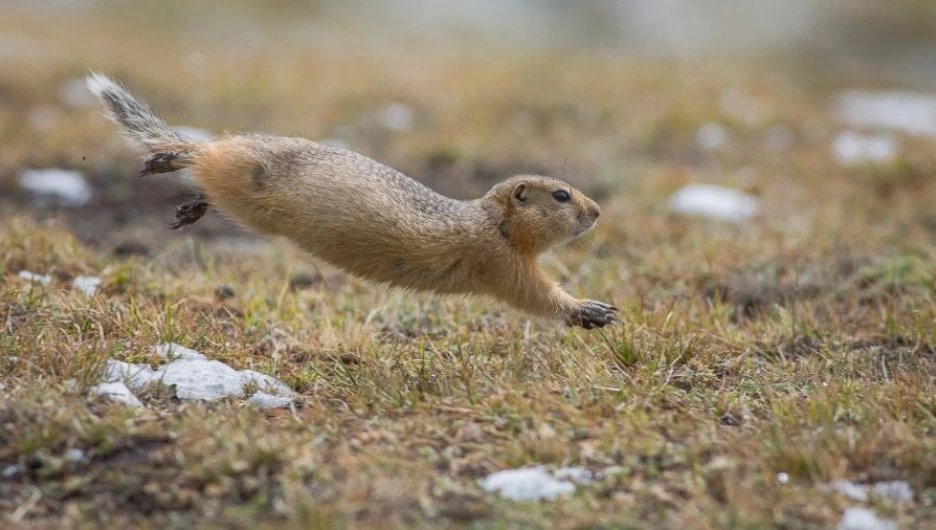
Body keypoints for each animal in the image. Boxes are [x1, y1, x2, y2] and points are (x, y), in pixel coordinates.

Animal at [86, 72, 616, 328]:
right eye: (562, 195)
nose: (597, 212)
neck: (493, 222)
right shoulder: (502, 263)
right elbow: (535, 294)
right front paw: (591, 309)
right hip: (240, 169)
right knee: (199, 152)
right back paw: (166, 159)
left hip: (244, 203)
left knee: (205, 178)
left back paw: (187, 202)